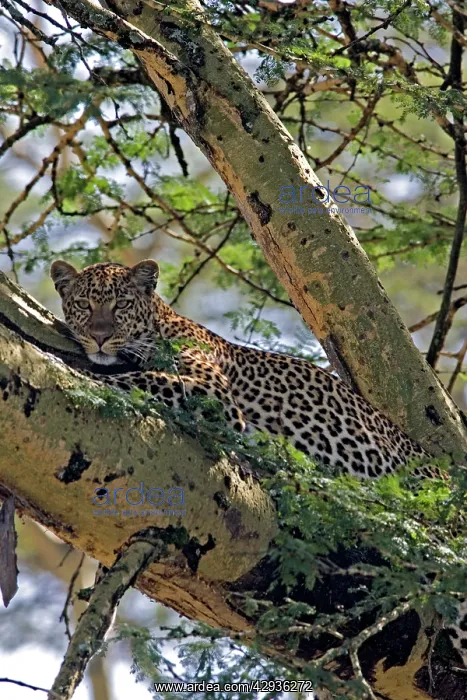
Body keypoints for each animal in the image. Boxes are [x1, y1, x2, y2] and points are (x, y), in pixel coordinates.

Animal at [50, 258, 467, 666]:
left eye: (120, 304)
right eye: (83, 305)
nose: (100, 337)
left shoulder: (212, 392)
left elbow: (143, 379)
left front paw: (76, 372)